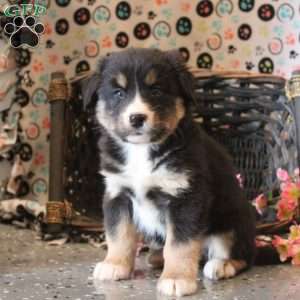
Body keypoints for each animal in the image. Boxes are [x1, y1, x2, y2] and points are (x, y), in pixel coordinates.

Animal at [84, 48, 255, 296]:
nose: (137, 118)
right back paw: (156, 258)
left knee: (243, 256)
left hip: (233, 222)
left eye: (156, 91)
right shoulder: (118, 194)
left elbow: (180, 244)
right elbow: (119, 234)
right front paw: (114, 265)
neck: (142, 150)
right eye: (118, 93)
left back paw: (220, 266)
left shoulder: (186, 197)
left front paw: (177, 279)